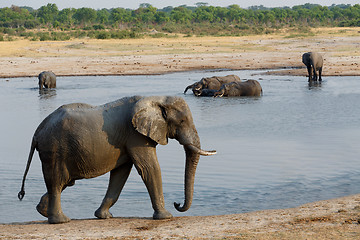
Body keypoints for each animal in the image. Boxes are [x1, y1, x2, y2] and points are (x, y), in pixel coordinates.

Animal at [18, 96, 217, 224]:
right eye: (182, 121)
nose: (177, 203)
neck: (156, 98)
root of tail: (37, 131)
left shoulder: (128, 140)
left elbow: (120, 174)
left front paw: (104, 216)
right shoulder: (136, 135)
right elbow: (149, 168)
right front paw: (166, 217)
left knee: (62, 182)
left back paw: (42, 211)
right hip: (54, 149)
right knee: (57, 181)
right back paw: (61, 221)